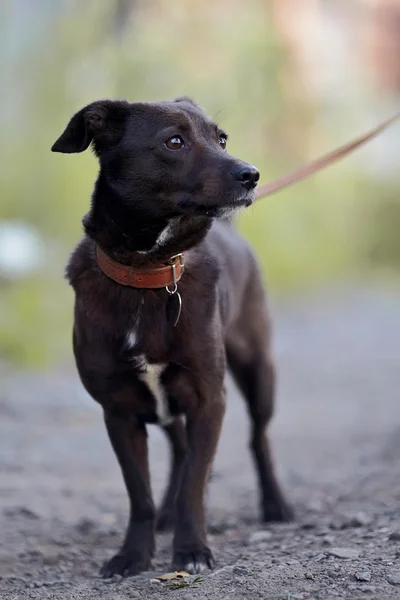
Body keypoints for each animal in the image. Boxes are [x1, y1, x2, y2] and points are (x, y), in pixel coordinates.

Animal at [51, 97, 292, 576]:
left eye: (222, 139)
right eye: (174, 141)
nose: (252, 175)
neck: (148, 272)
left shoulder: (208, 399)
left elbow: (194, 487)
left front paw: (193, 550)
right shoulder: (120, 410)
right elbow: (140, 493)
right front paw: (131, 555)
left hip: (257, 369)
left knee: (258, 438)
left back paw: (276, 505)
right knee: (180, 451)